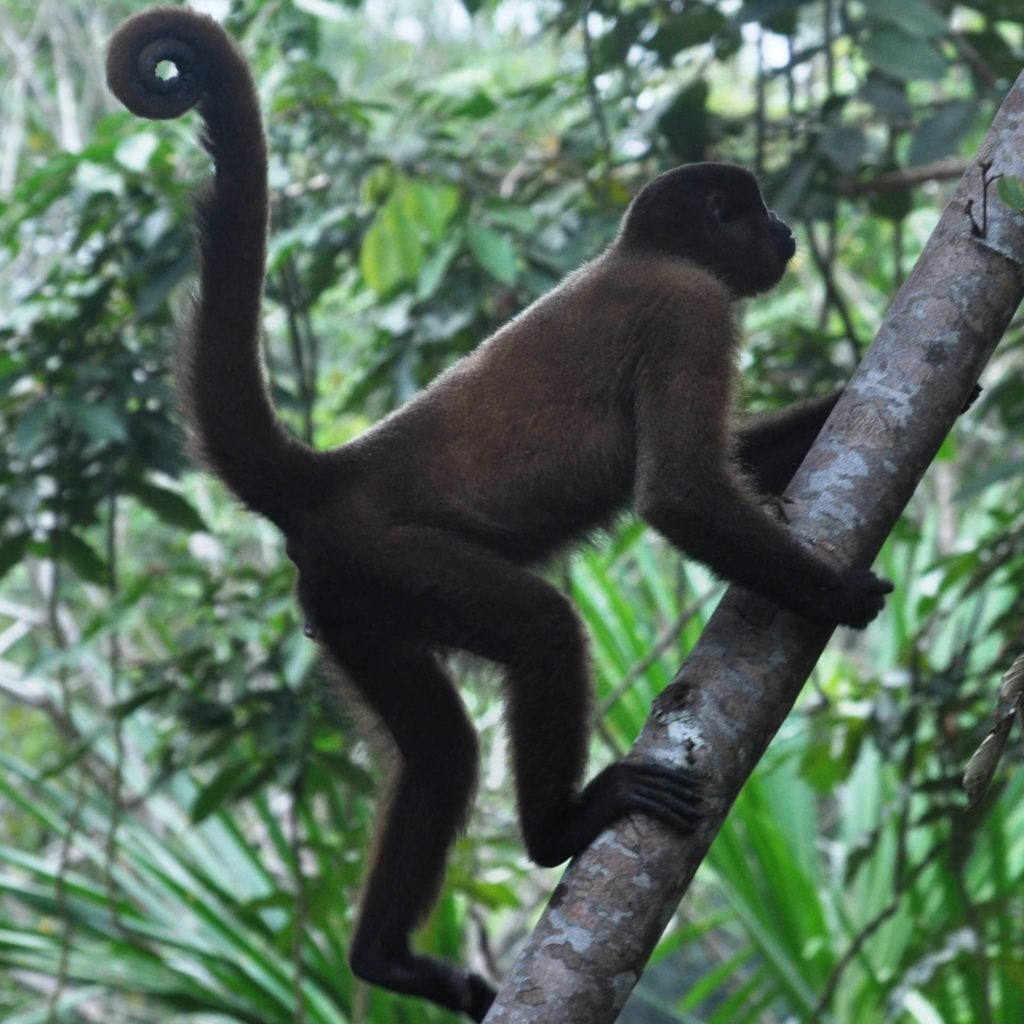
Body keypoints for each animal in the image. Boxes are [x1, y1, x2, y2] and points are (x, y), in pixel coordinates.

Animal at [106, 8, 891, 1020]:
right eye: (756, 210)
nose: (789, 227)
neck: (646, 252)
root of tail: (339, 473)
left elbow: (733, 465)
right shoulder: (690, 307)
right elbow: (678, 490)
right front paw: (836, 597)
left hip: (349, 603)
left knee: (441, 752)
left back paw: (385, 961)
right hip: (393, 558)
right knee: (542, 629)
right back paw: (562, 828)